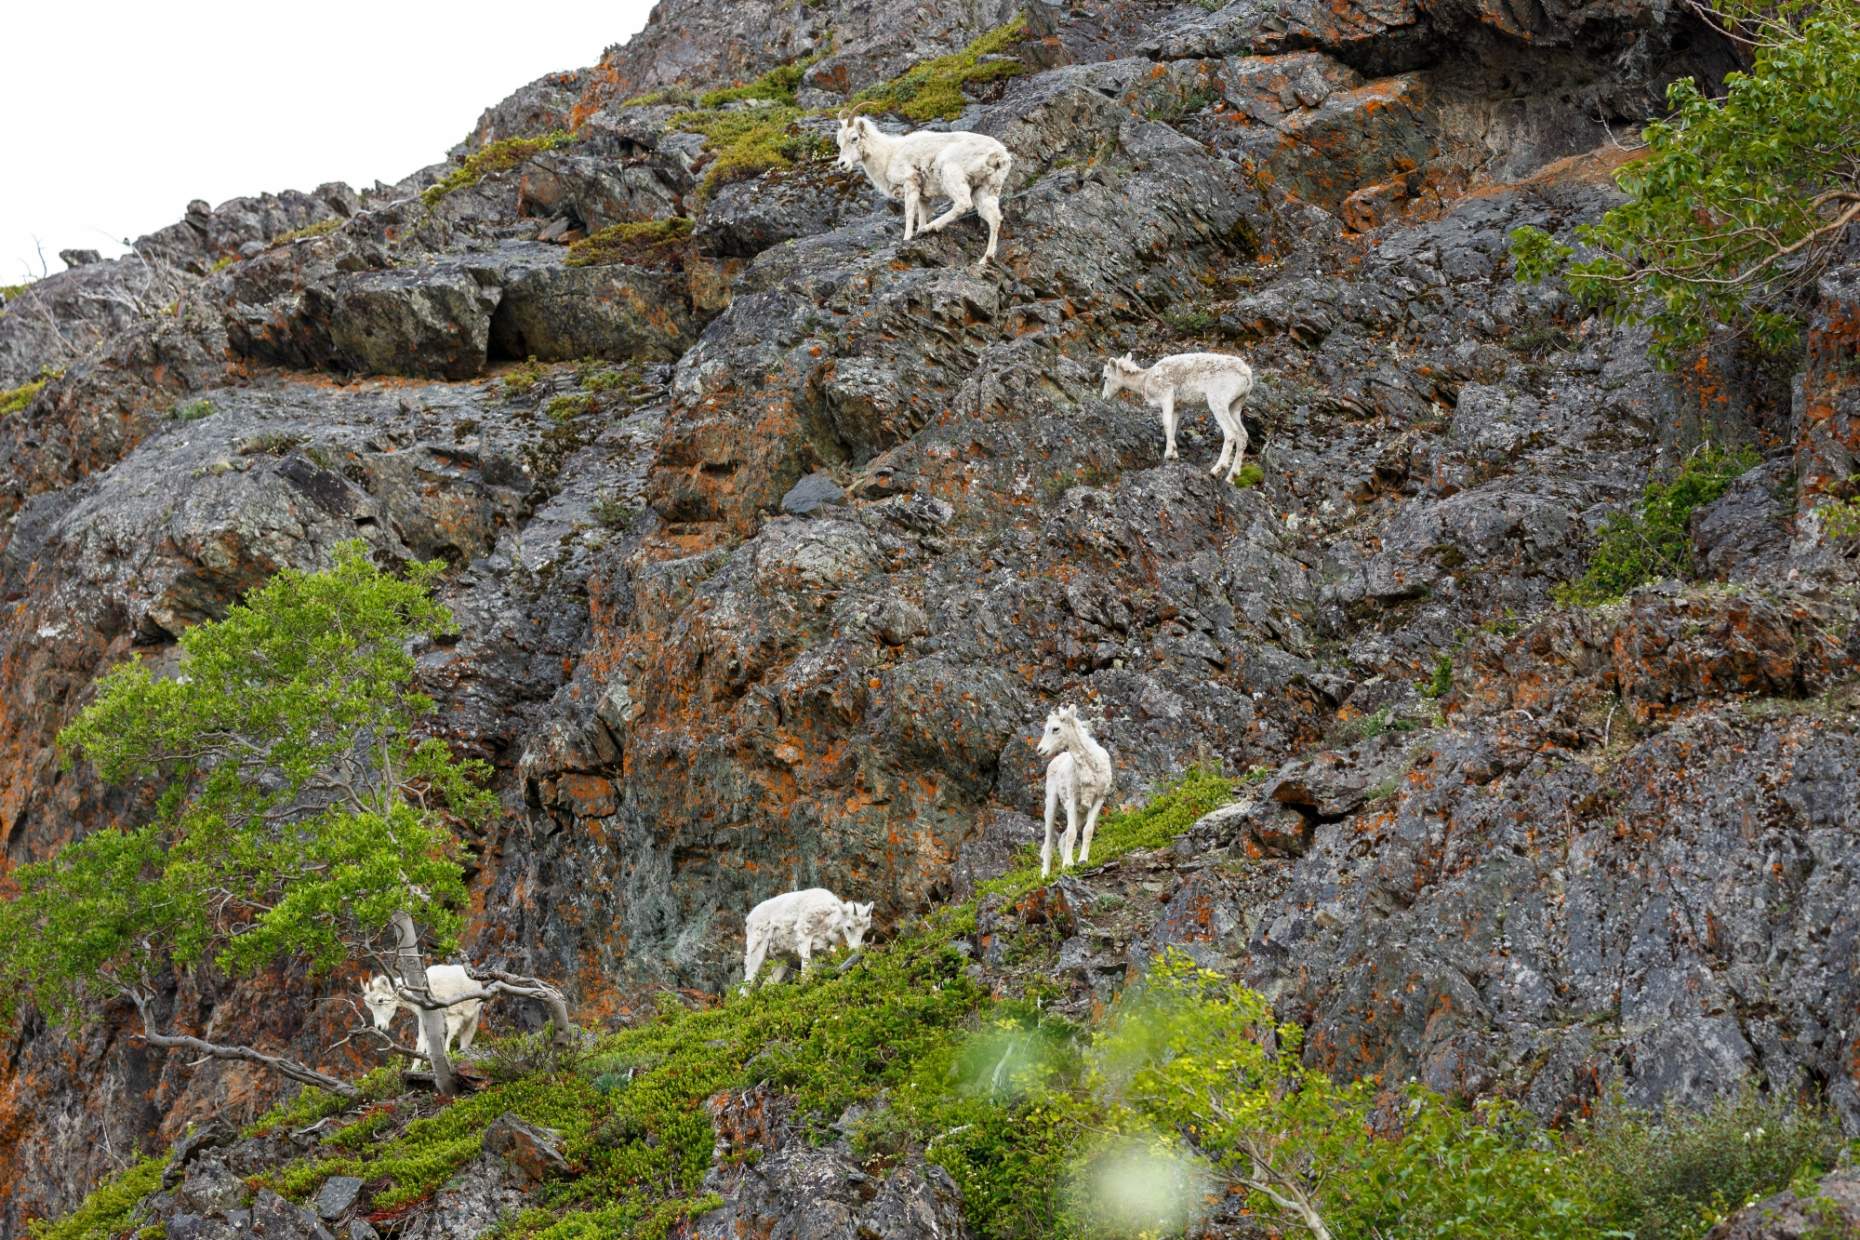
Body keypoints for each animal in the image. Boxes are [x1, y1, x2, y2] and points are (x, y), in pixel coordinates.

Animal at [744, 881, 874, 989]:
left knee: (767, 984)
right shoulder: (804, 937)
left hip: (783, 960)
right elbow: (806, 968)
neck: (827, 919)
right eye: (849, 927)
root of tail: (749, 918)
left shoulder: (818, 949)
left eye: (865, 930)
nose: (855, 949)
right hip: (757, 950)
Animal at [840, 112, 1019, 265]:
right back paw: (985, 259)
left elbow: (910, 214)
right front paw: (918, 233)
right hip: (985, 189)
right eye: (839, 142)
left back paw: (931, 228)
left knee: (963, 204)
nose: (842, 164)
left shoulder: (910, 183)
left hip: (951, 174)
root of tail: (999, 155)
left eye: (854, 138)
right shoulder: (923, 196)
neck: (888, 155)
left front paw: (907, 238)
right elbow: (922, 214)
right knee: (994, 218)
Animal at [1041, 702, 1108, 877]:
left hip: (1080, 814)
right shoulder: (1072, 800)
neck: (1090, 767)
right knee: (1049, 841)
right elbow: (1072, 834)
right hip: (1052, 804)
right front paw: (1067, 865)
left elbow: (1087, 831)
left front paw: (1082, 861)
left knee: (1062, 838)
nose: (1040, 749)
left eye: (1055, 728)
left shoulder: (1098, 800)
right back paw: (1045, 875)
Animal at [1093, 353, 1257, 483]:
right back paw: (1231, 477)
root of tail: (1247, 375)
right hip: (1235, 407)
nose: (1104, 397)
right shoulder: (1178, 407)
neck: (1145, 380)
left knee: (1231, 434)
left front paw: (1168, 455)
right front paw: (1174, 454)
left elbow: (1166, 424)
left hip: (1218, 404)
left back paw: (1216, 470)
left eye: (1105, 377)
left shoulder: (1166, 397)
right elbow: (1172, 427)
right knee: (1243, 435)